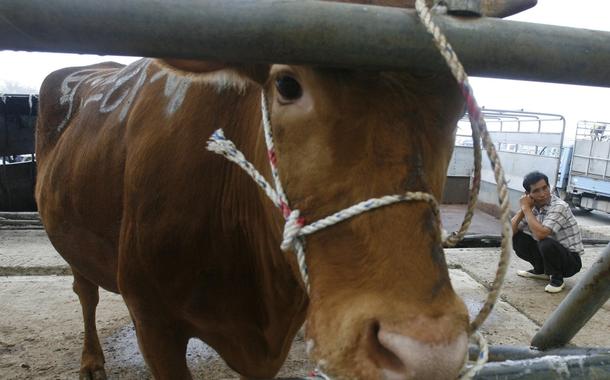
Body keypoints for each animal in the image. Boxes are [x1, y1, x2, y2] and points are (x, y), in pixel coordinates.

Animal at [34, 3, 470, 380]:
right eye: (288, 84)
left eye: (460, 104)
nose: (428, 354)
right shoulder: (154, 321)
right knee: (85, 292)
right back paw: (92, 362)